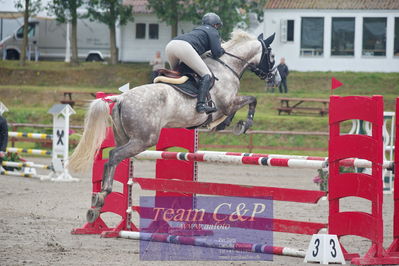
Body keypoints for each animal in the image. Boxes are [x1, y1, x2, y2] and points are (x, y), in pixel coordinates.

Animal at [69, 29, 278, 222]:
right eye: (272, 55)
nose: (275, 79)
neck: (227, 67)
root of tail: (121, 98)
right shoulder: (227, 104)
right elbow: (251, 100)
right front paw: (241, 125)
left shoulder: (227, 105)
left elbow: (240, 107)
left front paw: (224, 124)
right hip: (143, 140)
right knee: (113, 155)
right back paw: (102, 196)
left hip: (124, 137)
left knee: (113, 158)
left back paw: (95, 208)